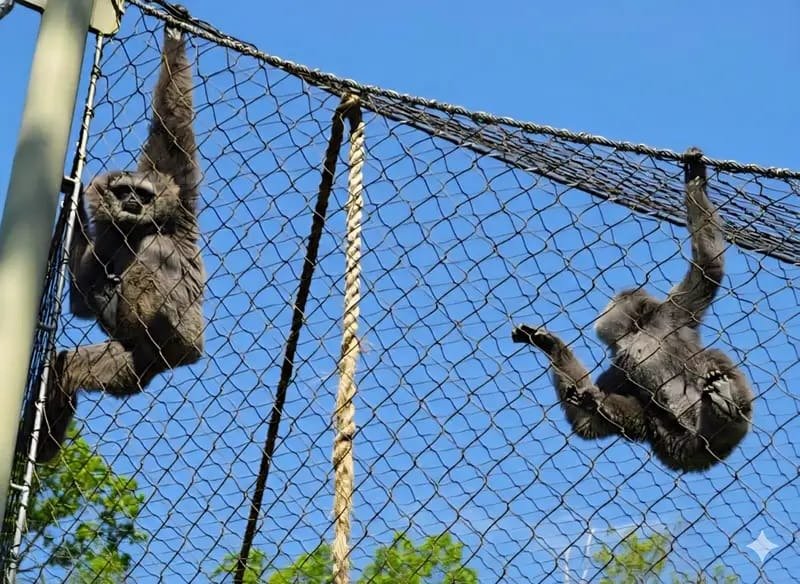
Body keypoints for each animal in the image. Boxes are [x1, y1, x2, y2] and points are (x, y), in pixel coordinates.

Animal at [37, 8, 205, 463]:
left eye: (142, 194)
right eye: (124, 190)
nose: (131, 202)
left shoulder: (176, 200)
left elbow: (172, 129)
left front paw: (175, 37)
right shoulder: (113, 234)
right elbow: (80, 297)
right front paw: (75, 202)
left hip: (185, 339)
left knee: (151, 263)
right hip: (132, 366)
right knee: (69, 367)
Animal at [511, 148, 754, 473]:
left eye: (615, 303)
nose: (606, 307)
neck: (638, 335)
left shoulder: (671, 315)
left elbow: (709, 265)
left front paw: (694, 181)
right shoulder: (621, 361)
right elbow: (588, 425)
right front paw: (550, 345)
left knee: (712, 360)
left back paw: (727, 403)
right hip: (675, 444)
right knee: (645, 417)